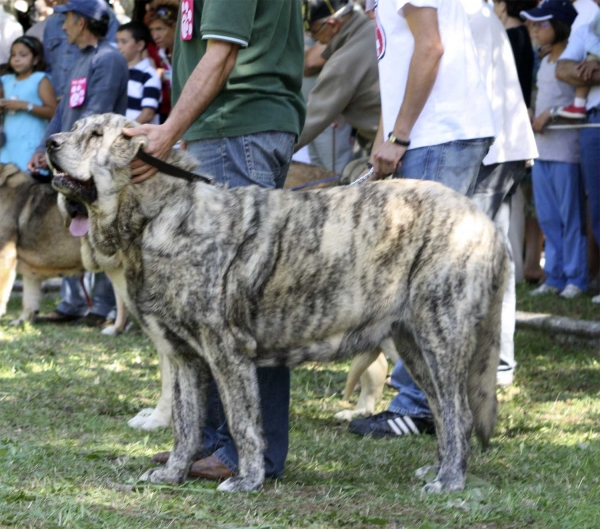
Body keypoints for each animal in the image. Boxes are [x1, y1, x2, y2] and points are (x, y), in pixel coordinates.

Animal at [47, 113, 508, 492]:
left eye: (95, 135)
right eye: (76, 128)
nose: (50, 143)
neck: (158, 215)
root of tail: (483, 219)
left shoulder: (227, 352)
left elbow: (243, 423)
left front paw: (247, 480)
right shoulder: (184, 358)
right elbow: (185, 425)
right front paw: (173, 473)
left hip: (440, 335)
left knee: (459, 412)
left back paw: (449, 482)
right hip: (414, 345)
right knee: (443, 412)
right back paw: (438, 469)